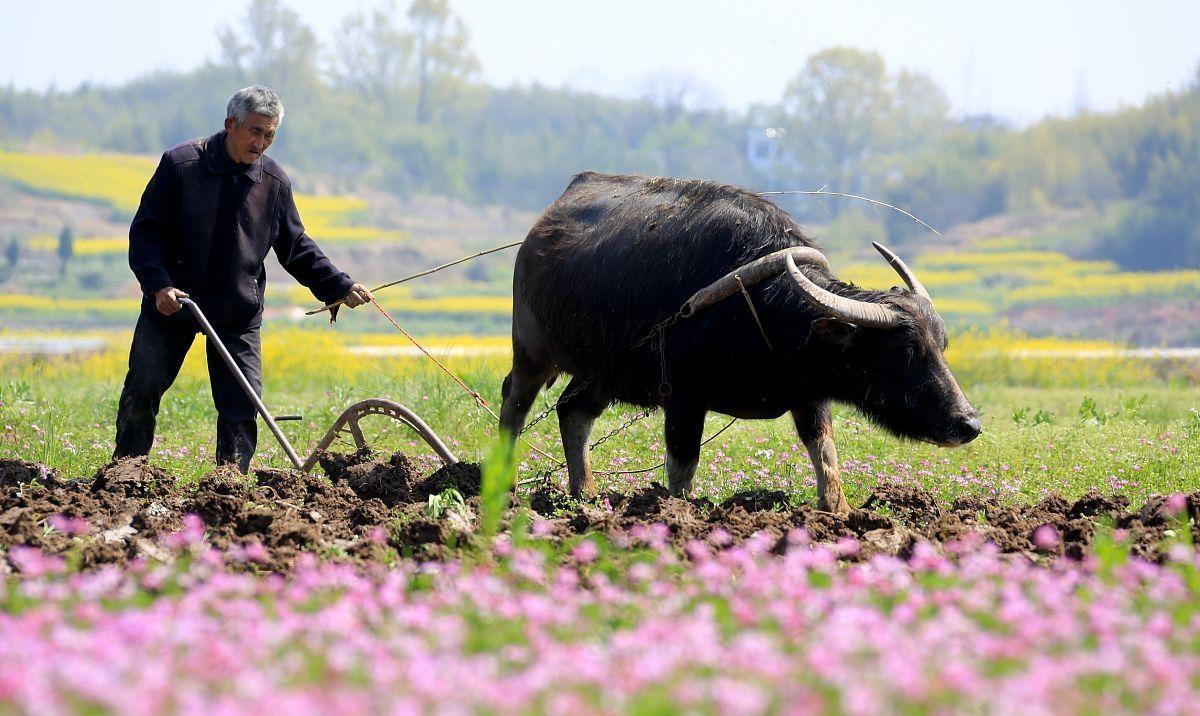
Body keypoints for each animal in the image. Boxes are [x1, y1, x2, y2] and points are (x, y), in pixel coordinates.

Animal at [501, 172, 979, 513]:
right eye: (906, 352)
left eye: (941, 345)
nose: (968, 424)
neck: (766, 313)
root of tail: (538, 231)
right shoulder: (683, 398)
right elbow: (682, 465)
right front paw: (678, 512)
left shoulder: (810, 396)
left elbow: (825, 454)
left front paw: (838, 510)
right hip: (531, 350)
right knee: (515, 405)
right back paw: (504, 487)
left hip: (603, 372)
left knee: (572, 412)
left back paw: (584, 493)